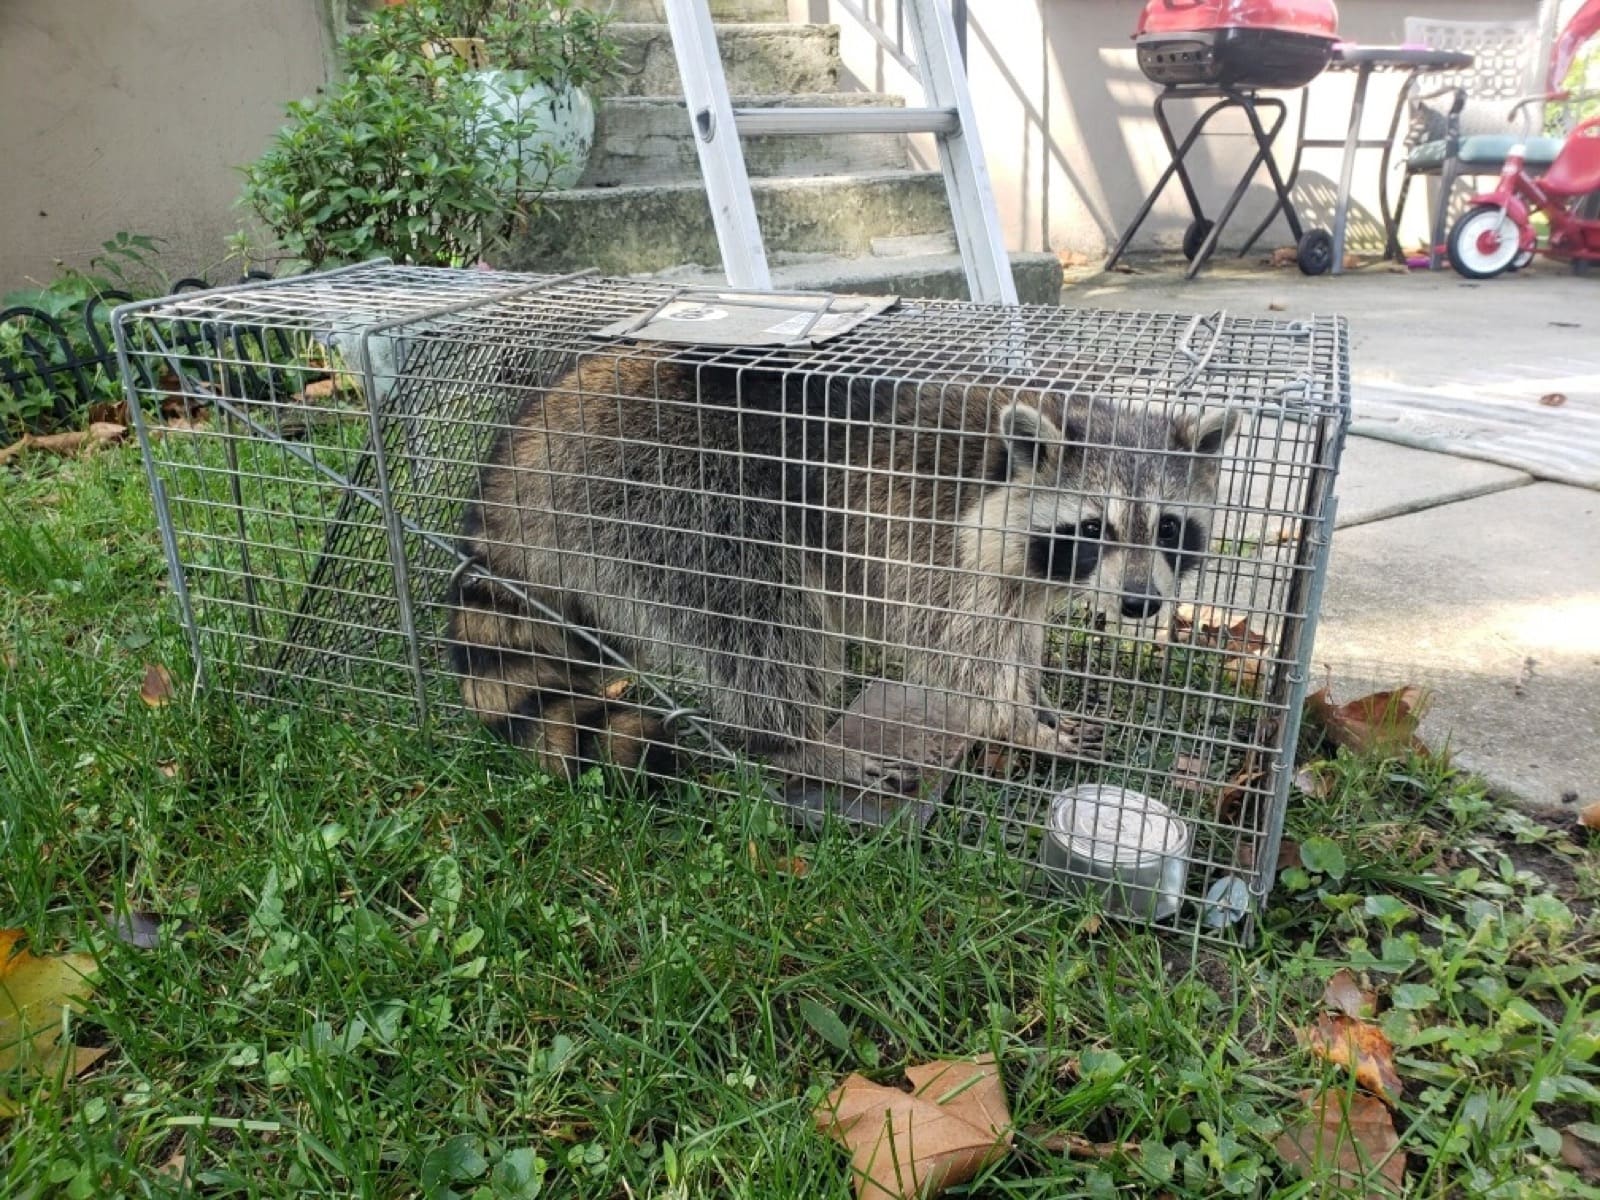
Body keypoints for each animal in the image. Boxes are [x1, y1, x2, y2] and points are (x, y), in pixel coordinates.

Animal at [446, 351, 1238, 789]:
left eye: (1170, 527)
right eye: (1095, 529)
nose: (1140, 604)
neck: (998, 470)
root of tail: (520, 456)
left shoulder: (1017, 577)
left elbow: (1015, 637)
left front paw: (1037, 700)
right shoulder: (929, 544)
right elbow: (960, 655)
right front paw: (1017, 725)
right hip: (668, 496)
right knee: (761, 622)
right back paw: (798, 746)